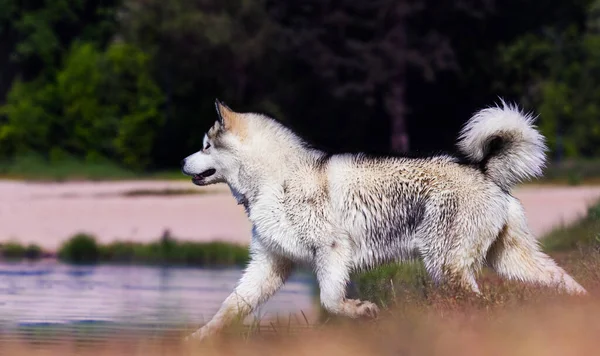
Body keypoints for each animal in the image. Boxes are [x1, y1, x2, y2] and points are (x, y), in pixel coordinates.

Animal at [180, 99, 588, 340]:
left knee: (479, 304)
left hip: (447, 266)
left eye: (205, 146)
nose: (182, 163)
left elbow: (331, 301)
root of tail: (484, 170)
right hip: (512, 261)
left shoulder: (332, 252)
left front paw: (360, 311)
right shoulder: (269, 264)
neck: (275, 178)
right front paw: (198, 339)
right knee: (561, 281)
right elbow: (231, 306)